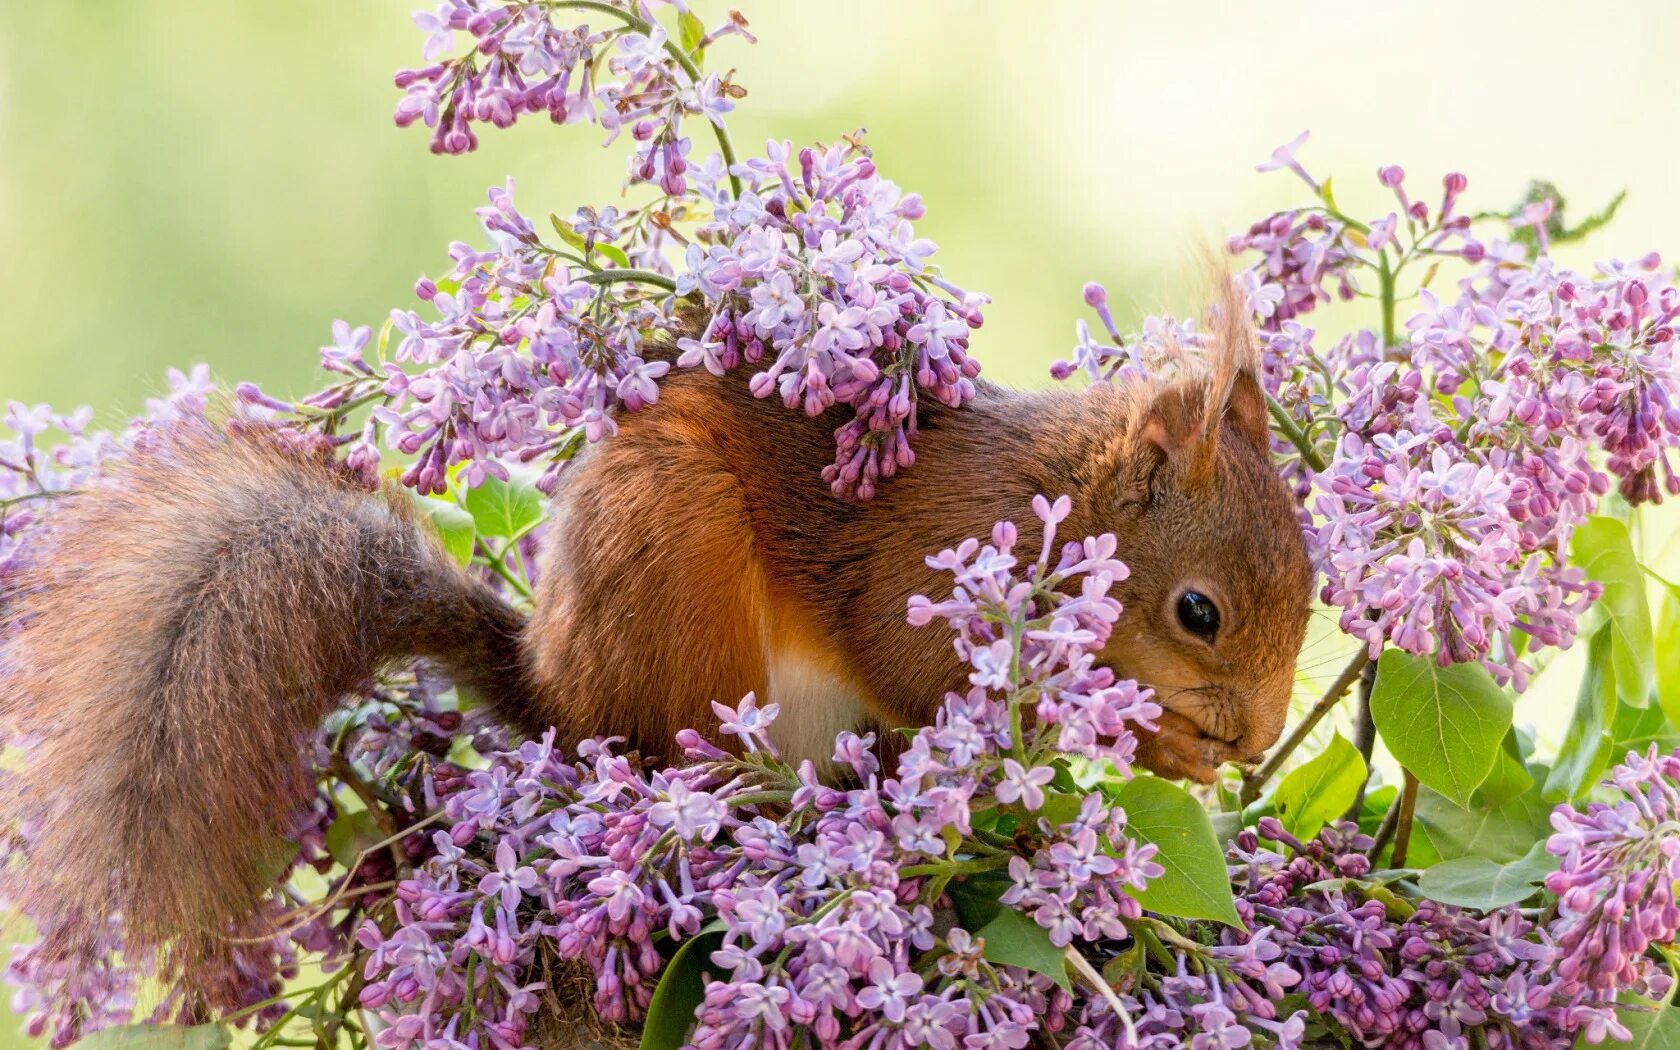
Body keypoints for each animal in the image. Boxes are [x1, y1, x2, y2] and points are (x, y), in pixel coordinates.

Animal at [0, 283, 1310, 981]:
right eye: (1199, 611)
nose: (1252, 741)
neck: (1060, 500)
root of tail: (555, 690)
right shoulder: (927, 555)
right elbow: (915, 663)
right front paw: (1158, 743)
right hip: (678, 569)